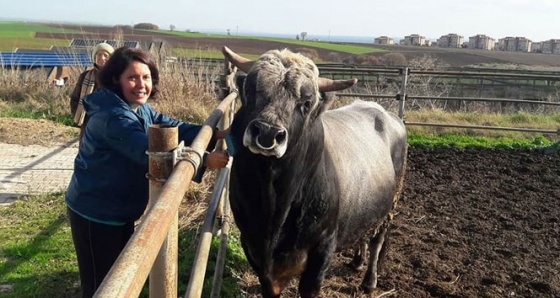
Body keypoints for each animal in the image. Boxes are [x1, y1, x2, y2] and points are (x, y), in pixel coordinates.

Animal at [222, 46, 406, 298]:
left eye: (307, 103)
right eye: (250, 91)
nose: (267, 133)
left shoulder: (322, 250)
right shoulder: (252, 246)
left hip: (390, 207)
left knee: (377, 240)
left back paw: (369, 281)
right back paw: (357, 261)